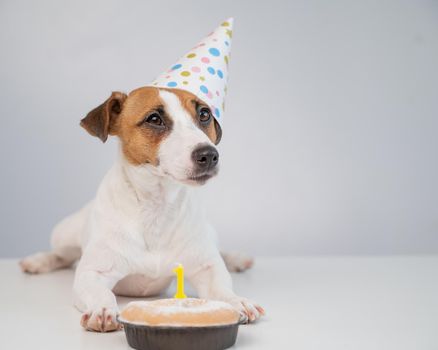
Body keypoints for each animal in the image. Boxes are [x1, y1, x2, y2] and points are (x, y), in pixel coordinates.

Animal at [19, 87, 264, 330]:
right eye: (154, 119)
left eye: (204, 115)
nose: (209, 154)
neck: (156, 207)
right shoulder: (92, 274)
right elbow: (101, 292)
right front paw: (103, 309)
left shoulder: (207, 268)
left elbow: (221, 286)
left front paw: (237, 300)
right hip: (64, 232)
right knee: (63, 254)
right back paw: (38, 261)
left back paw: (236, 259)